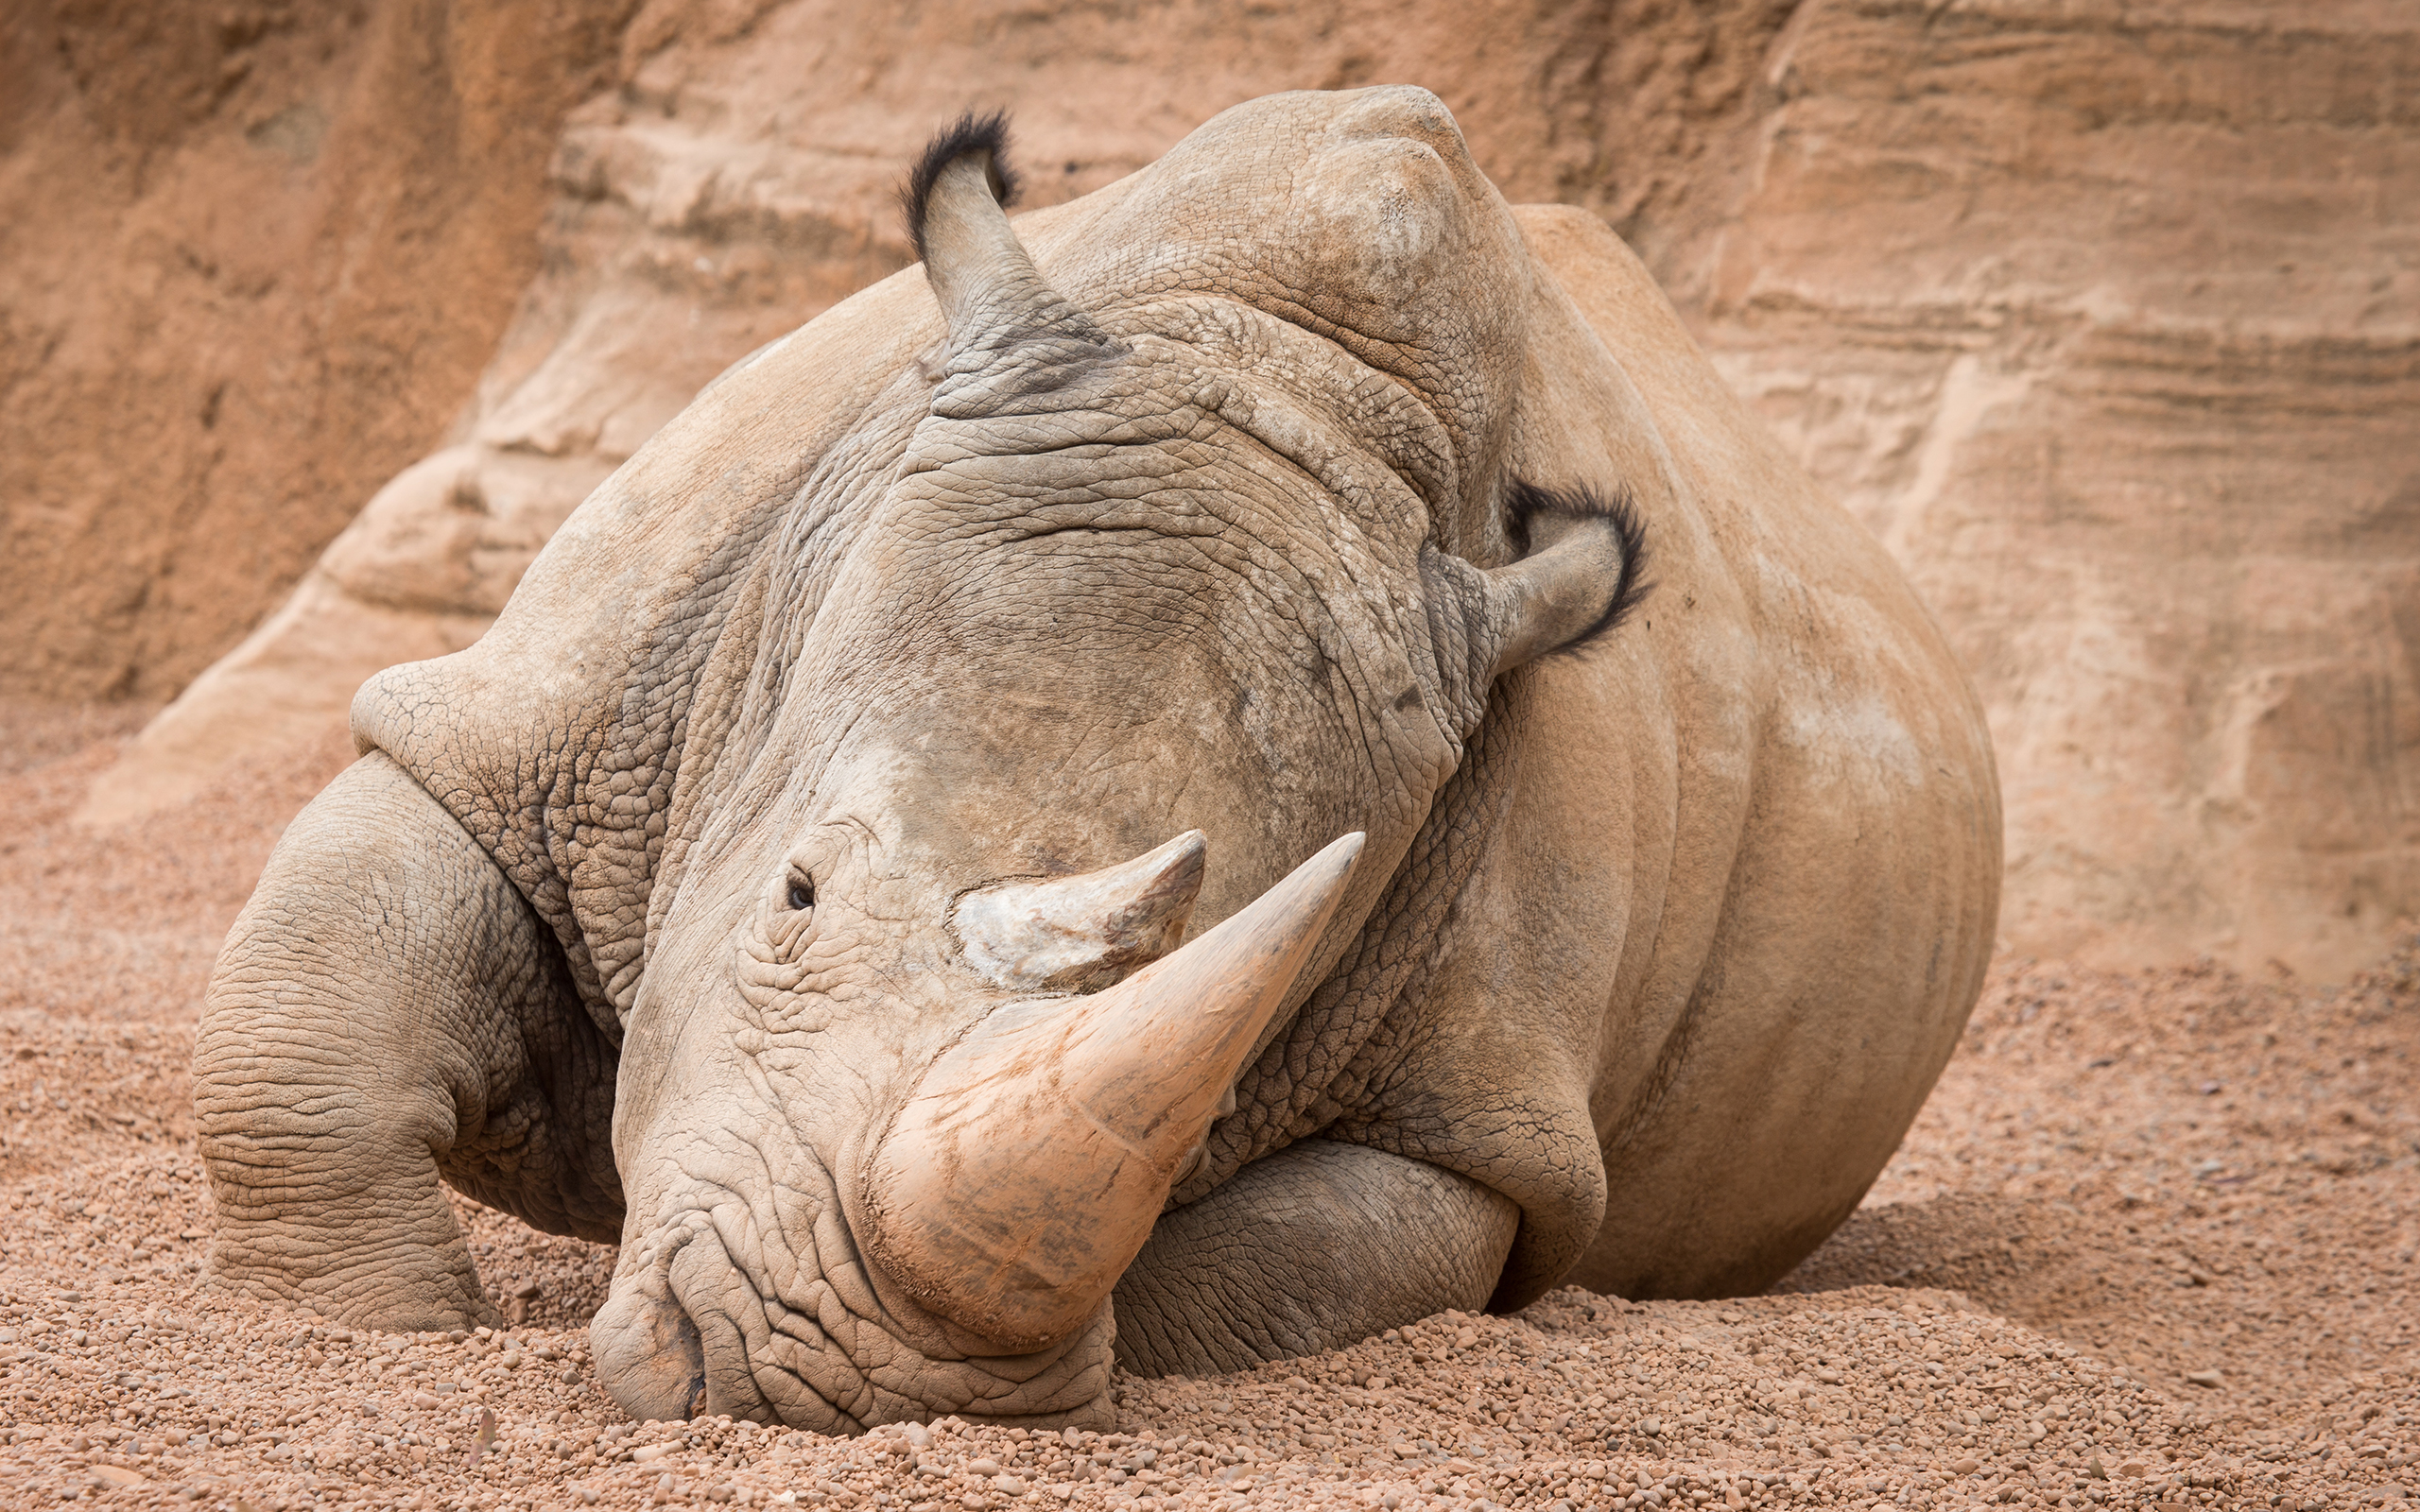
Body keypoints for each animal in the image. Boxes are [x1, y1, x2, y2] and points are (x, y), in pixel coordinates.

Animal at [195, 87, 2000, 1431]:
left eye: (1252, 1035)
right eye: (793, 895)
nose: (830, 1387)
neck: (1268, 353)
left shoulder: (1476, 1119)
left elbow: (1264, 1268)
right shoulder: (552, 722)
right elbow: (301, 1032)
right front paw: (374, 1335)